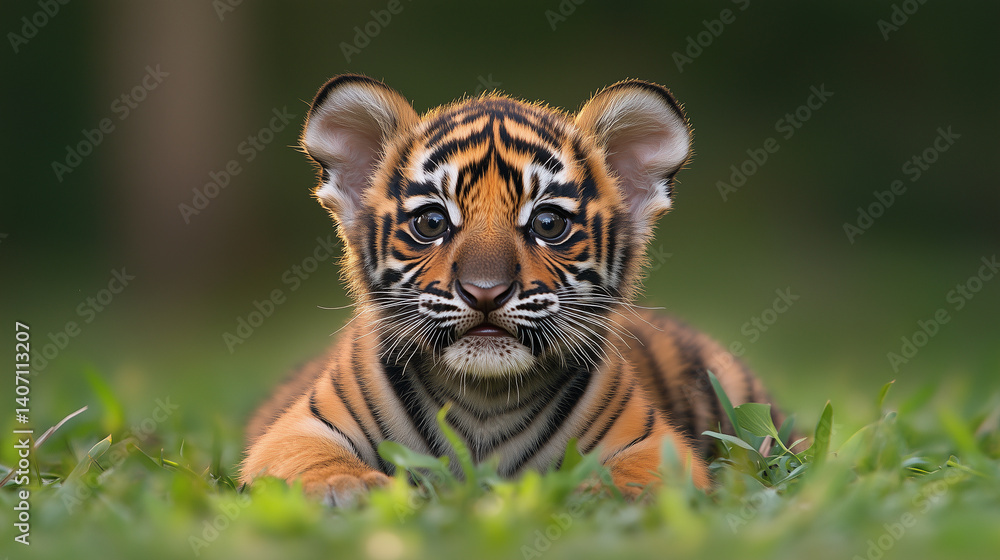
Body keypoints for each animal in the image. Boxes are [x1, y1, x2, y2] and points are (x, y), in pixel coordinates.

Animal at [240, 74, 788, 505]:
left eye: (548, 223)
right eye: (431, 222)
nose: (485, 291)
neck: (484, 400)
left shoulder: (654, 445)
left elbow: (634, 481)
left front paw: (590, 497)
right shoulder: (298, 430)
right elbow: (311, 462)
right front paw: (348, 490)